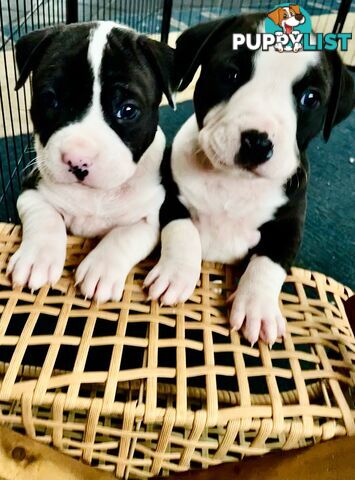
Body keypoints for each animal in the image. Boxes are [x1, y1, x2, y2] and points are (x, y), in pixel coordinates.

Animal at [7, 21, 175, 304]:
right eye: (49, 100)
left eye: (128, 110)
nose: (77, 160)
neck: (96, 195)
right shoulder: (31, 190)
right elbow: (46, 218)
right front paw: (37, 258)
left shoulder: (148, 220)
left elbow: (123, 236)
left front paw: (101, 269)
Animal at [145, 14, 355, 344]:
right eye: (230, 74)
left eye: (311, 98)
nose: (257, 142)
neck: (234, 183)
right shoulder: (169, 195)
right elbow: (182, 230)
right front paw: (176, 273)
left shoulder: (289, 226)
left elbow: (268, 263)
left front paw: (258, 306)